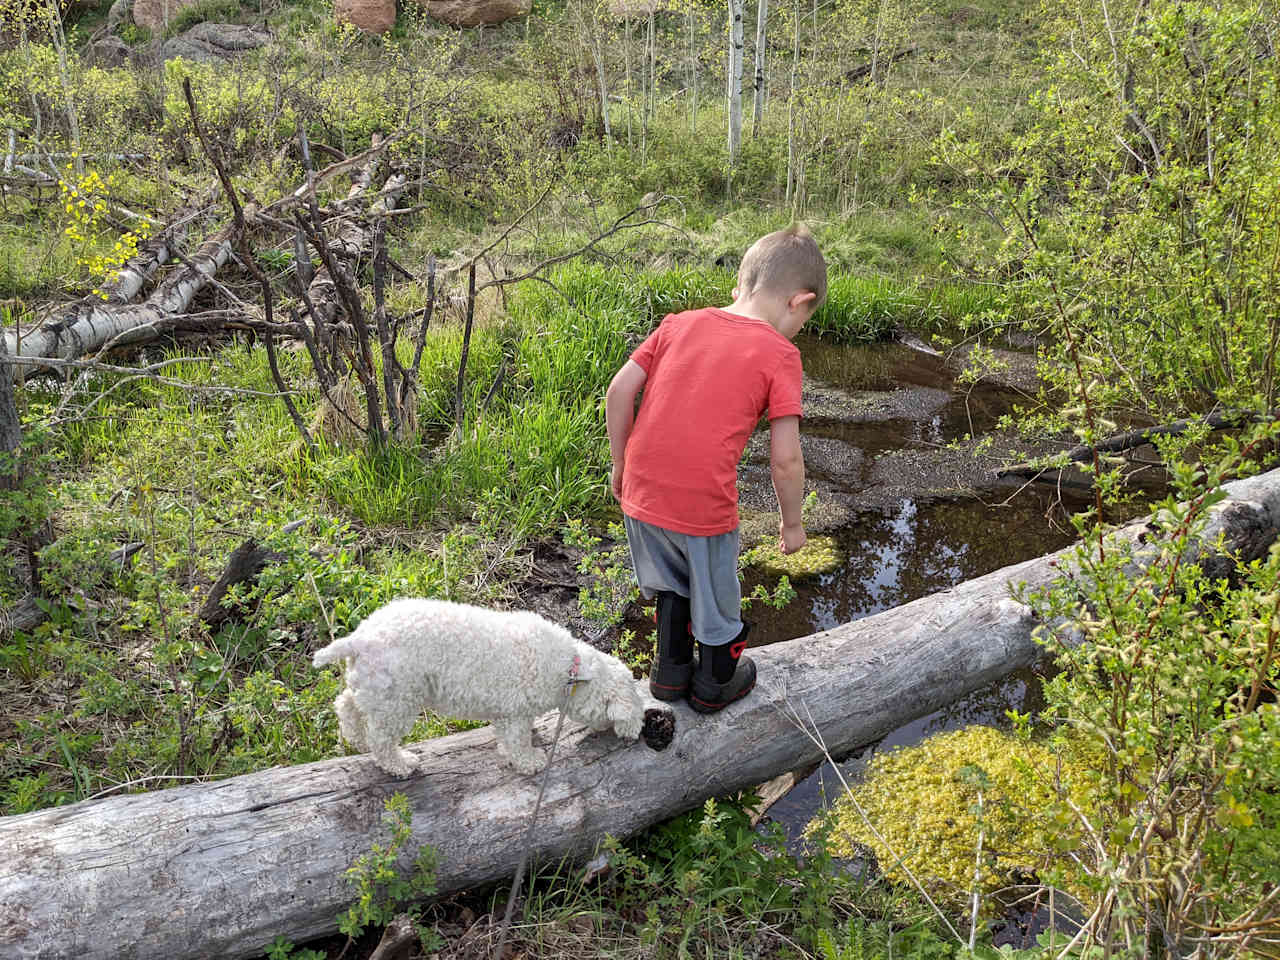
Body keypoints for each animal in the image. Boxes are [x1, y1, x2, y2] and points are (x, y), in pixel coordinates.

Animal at [309, 599, 655, 778]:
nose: (631, 734)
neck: (569, 669)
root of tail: (360, 638)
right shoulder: (515, 712)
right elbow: (517, 741)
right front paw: (531, 761)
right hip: (398, 700)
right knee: (380, 740)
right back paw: (401, 764)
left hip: (374, 686)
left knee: (346, 704)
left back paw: (353, 737)